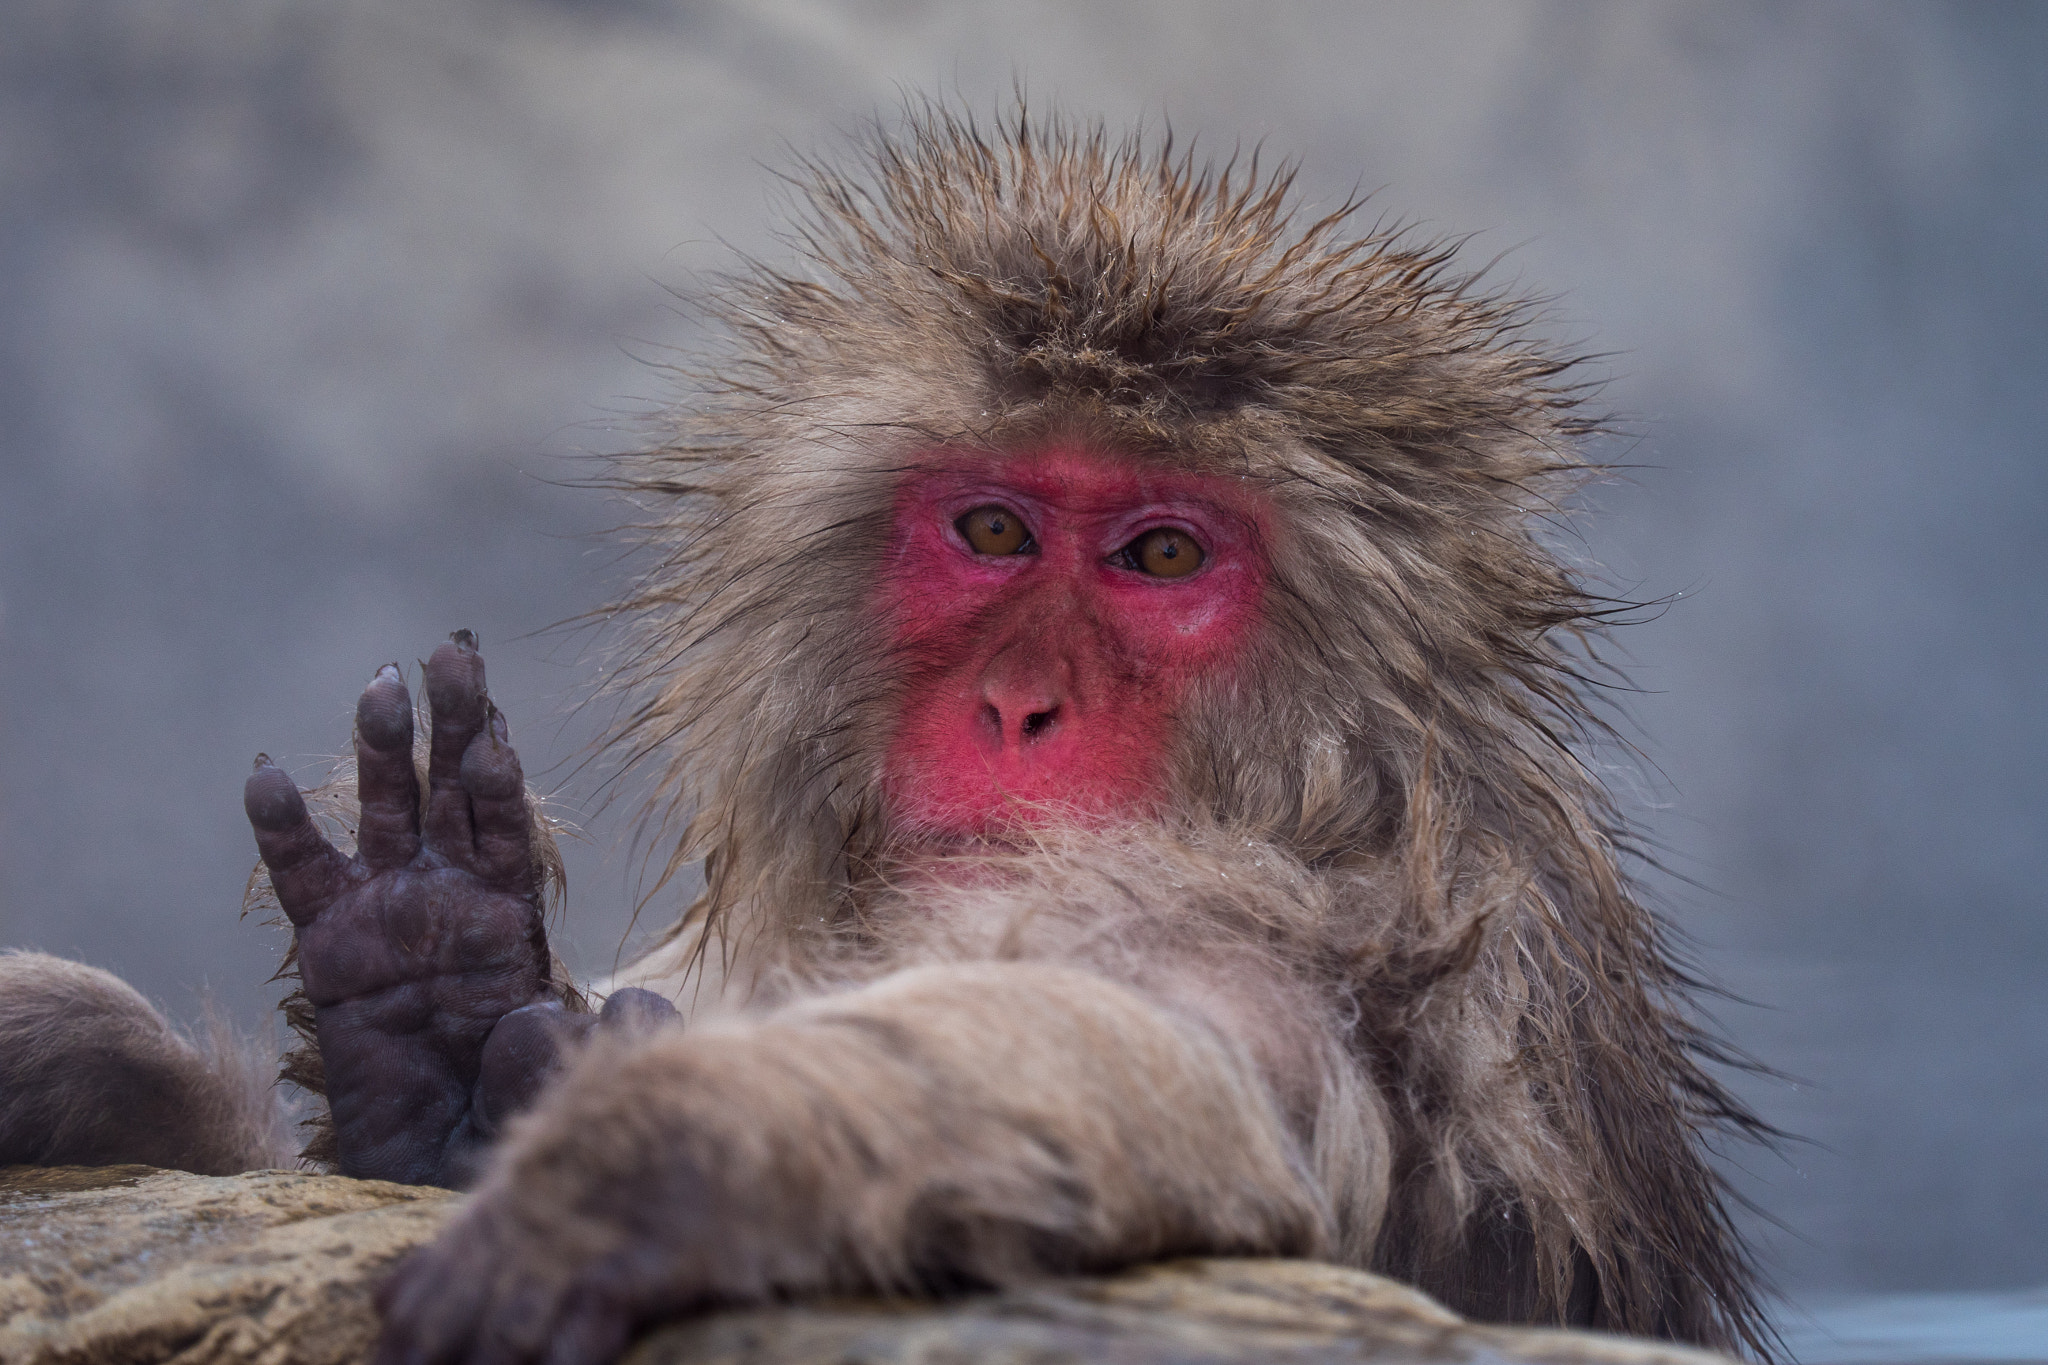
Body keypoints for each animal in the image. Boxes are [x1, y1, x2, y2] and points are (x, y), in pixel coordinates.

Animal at [0, 112, 1769, 1358]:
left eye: (1163, 556)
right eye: (992, 530)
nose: (1020, 705)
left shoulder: (1330, 919)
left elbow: (1157, 1061)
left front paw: (660, 1164)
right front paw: (409, 1008)